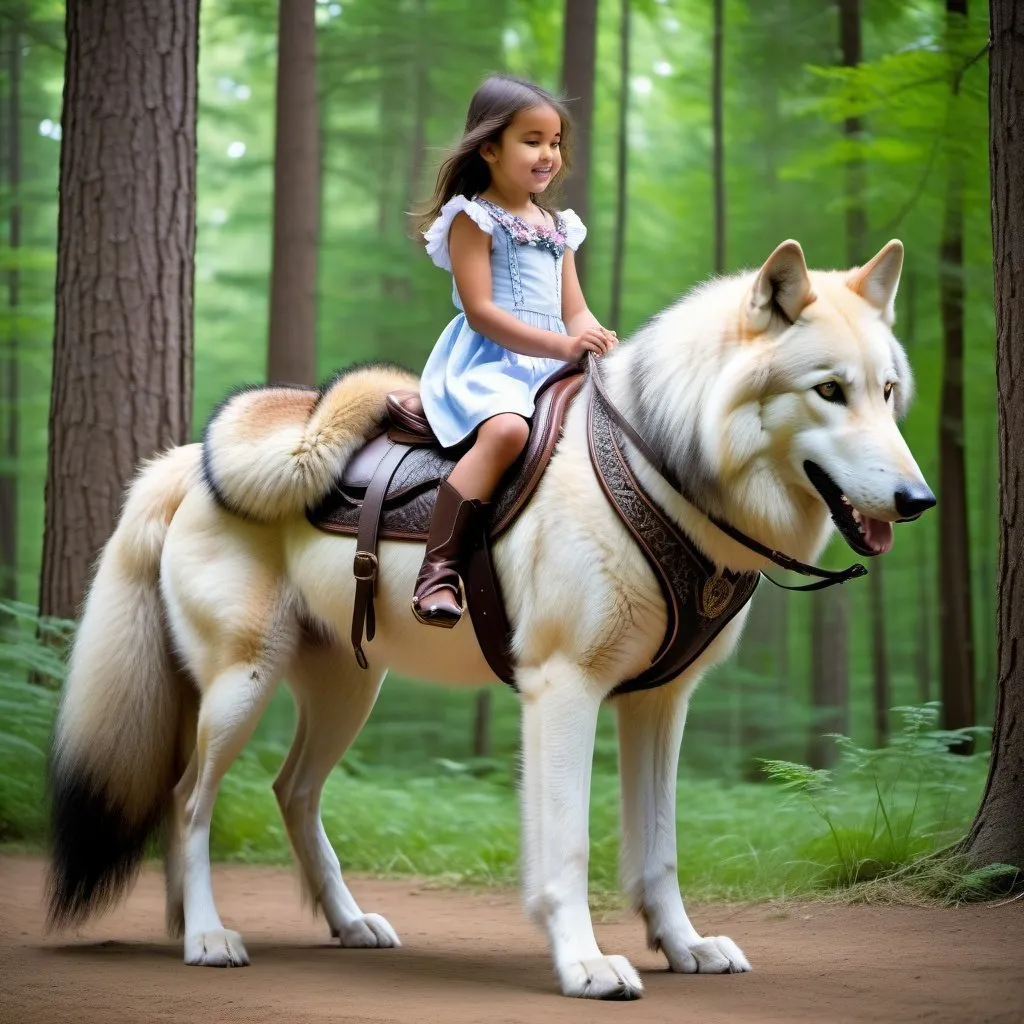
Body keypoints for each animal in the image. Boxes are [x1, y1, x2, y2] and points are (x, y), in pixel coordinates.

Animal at [44, 239, 933, 999]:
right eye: (829, 390)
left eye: (886, 393)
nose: (919, 500)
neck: (658, 466)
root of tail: (180, 464)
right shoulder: (563, 690)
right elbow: (568, 847)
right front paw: (586, 964)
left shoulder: (658, 704)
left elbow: (659, 851)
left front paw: (682, 947)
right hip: (242, 685)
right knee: (187, 800)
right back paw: (204, 935)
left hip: (345, 695)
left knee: (288, 792)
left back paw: (338, 924)